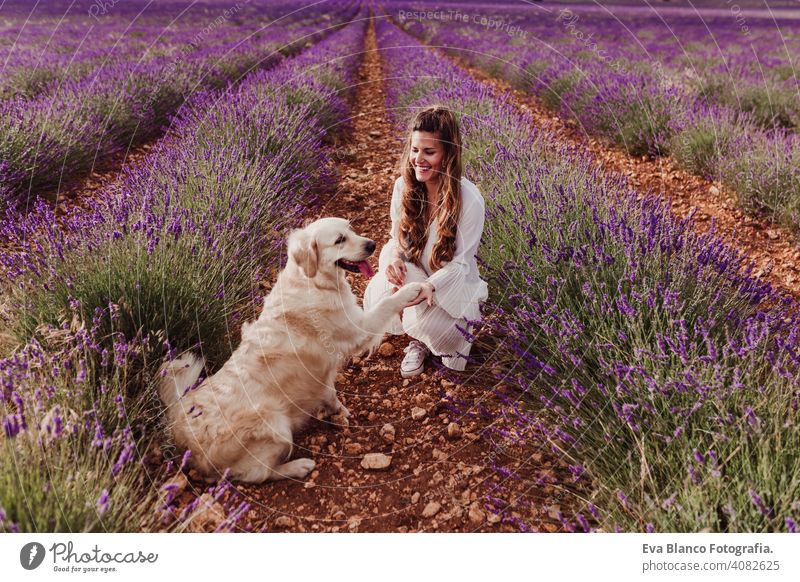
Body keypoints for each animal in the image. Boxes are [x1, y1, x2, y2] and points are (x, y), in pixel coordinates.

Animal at [155, 219, 418, 484]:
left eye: (351, 229)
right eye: (339, 240)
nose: (372, 244)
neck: (313, 282)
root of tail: (179, 423)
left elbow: (329, 393)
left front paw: (337, 410)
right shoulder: (357, 329)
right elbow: (386, 304)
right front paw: (411, 289)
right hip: (276, 426)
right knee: (259, 474)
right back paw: (298, 466)